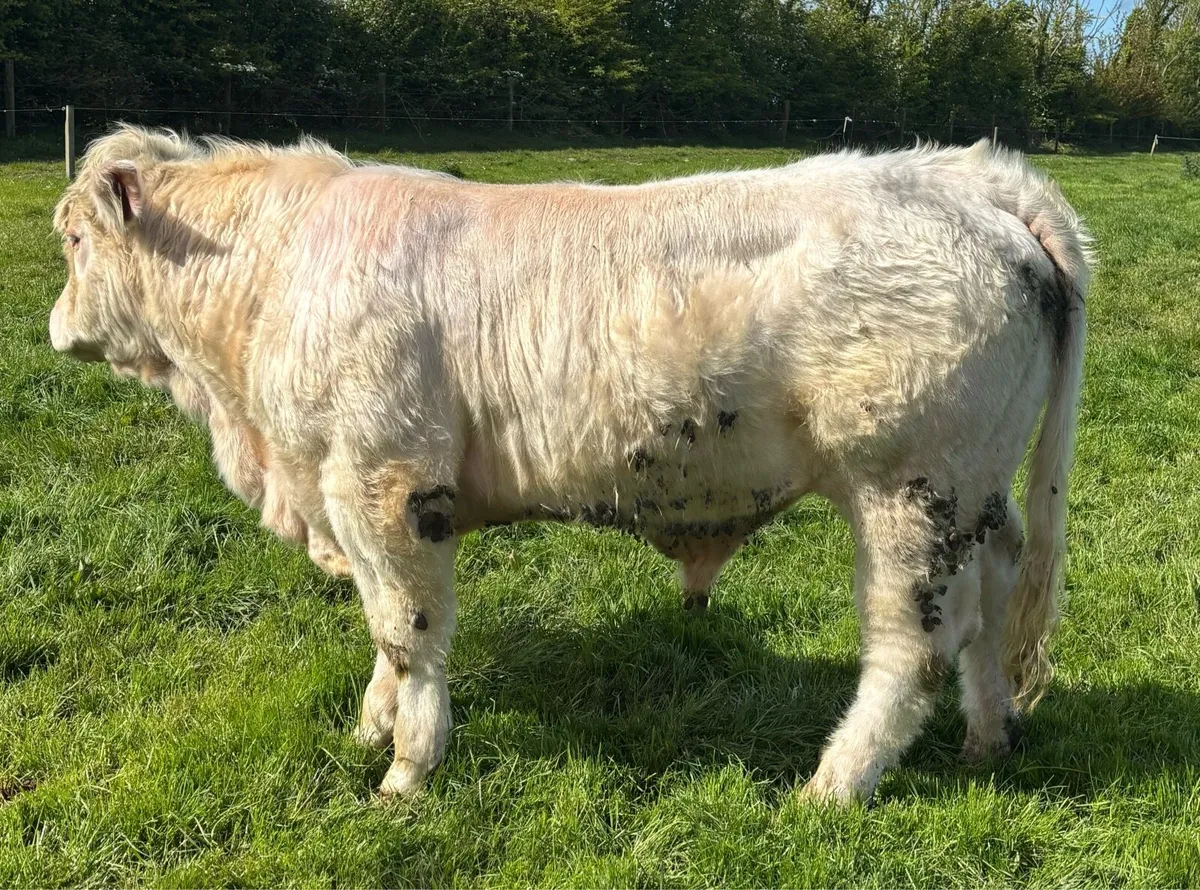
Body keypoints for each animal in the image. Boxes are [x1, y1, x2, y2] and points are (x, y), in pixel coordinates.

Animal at [49, 125, 1089, 803]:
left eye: (72, 239)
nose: (54, 326)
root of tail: (966, 179)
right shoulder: (343, 494)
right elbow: (380, 633)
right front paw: (372, 723)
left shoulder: (383, 484)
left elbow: (407, 629)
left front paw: (406, 768)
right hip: (976, 494)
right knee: (992, 605)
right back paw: (987, 737)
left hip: (908, 491)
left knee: (912, 648)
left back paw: (832, 785)